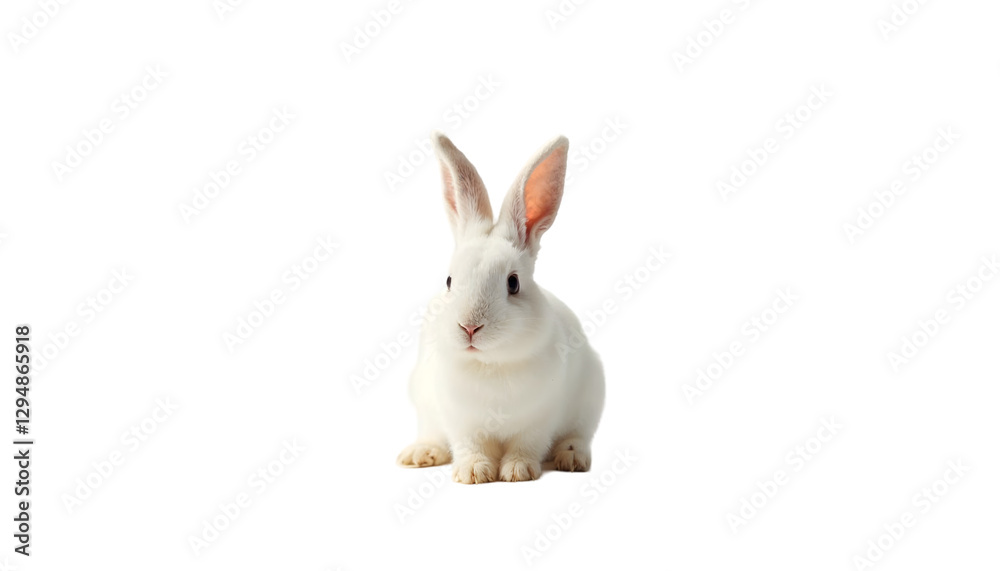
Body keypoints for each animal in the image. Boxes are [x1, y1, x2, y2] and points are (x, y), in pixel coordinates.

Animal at [396, 132, 605, 484]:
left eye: (513, 283)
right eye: (449, 281)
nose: (469, 327)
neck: (489, 363)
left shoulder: (540, 418)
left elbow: (526, 445)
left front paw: (518, 471)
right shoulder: (460, 420)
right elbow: (469, 446)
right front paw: (473, 472)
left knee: (577, 436)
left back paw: (572, 458)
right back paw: (419, 455)